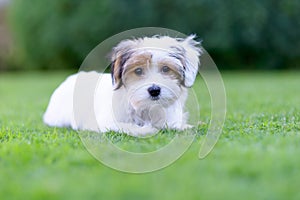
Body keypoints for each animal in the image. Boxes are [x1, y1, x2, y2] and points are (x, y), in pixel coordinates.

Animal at [42, 35, 202, 136]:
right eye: (138, 70)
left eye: (166, 69)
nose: (154, 90)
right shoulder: (105, 122)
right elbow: (126, 126)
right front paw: (147, 130)